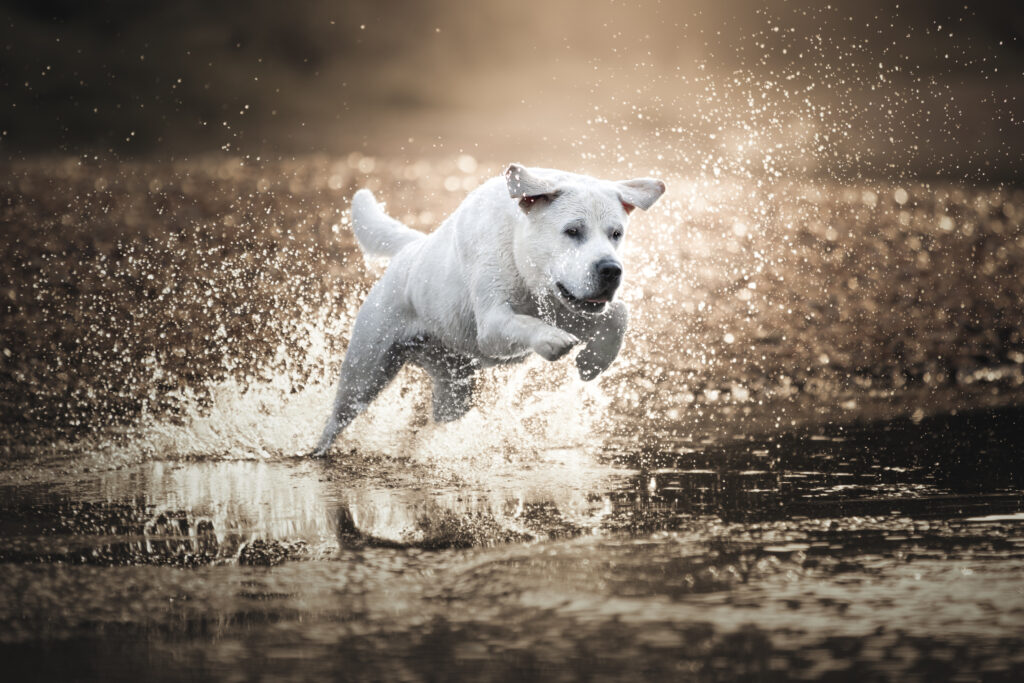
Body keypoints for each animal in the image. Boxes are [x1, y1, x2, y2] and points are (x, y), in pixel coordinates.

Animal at [311, 162, 663, 456]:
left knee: (440, 417)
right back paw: (318, 450)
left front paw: (592, 363)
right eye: (572, 231)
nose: (611, 269)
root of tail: (410, 249)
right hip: (366, 371)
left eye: (616, 234)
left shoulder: (566, 307)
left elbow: (619, 314)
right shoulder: (493, 324)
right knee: (337, 418)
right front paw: (553, 341)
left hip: (455, 389)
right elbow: (525, 325)